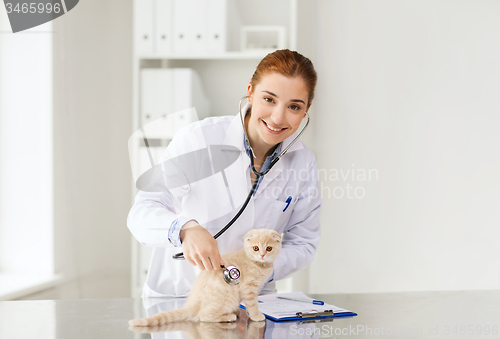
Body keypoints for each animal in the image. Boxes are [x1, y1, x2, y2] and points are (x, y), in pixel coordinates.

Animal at [129, 228, 282, 326]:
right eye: (256, 248)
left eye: (269, 248)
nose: (262, 255)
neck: (257, 263)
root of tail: (192, 302)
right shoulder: (248, 289)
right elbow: (252, 304)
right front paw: (256, 315)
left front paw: (252, 314)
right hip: (226, 300)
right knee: (203, 316)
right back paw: (229, 316)